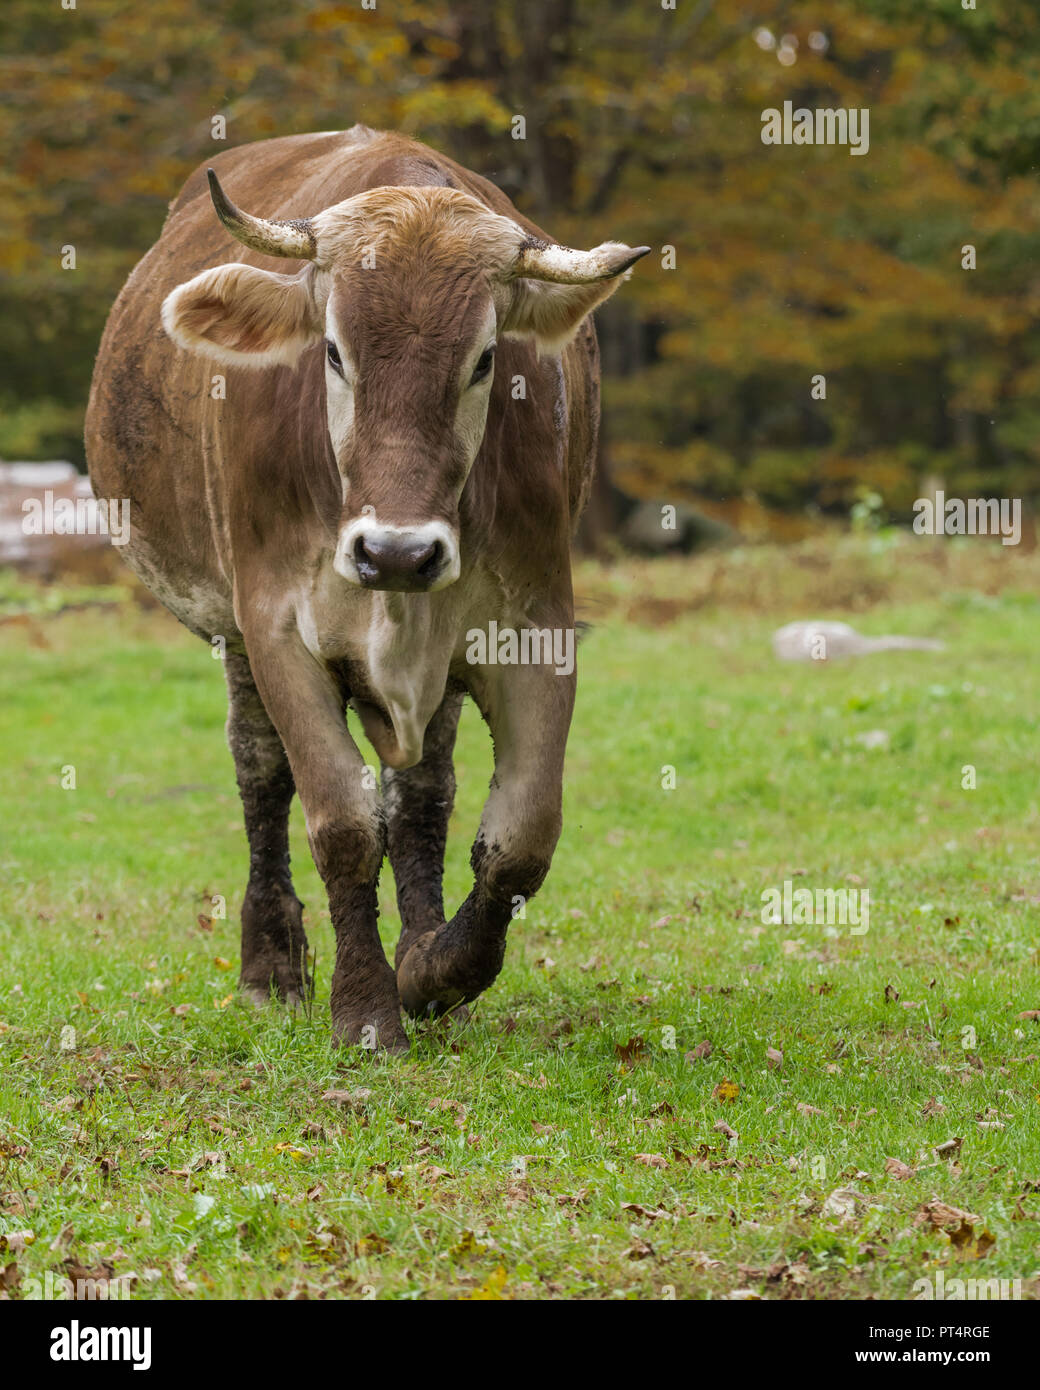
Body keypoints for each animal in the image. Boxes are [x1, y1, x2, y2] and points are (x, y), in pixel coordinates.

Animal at [85, 125, 645, 1045]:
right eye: (334, 352)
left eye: (484, 358)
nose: (397, 554)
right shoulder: (276, 626)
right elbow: (342, 823)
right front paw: (365, 1010)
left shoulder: (535, 625)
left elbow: (521, 838)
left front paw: (434, 973)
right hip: (232, 634)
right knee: (260, 769)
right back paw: (271, 965)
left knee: (421, 795)